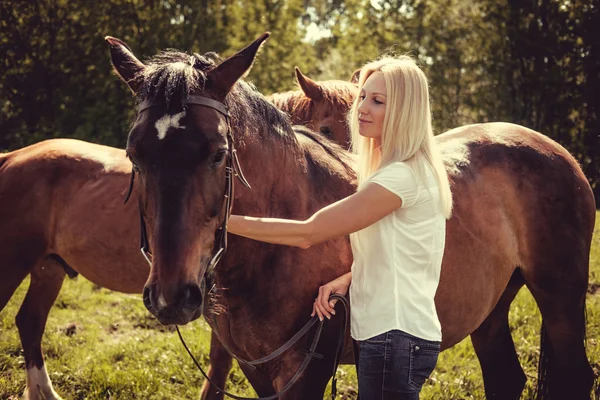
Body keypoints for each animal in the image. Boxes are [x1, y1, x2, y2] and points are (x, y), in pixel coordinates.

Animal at [103, 33, 596, 400]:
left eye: (218, 153)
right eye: (134, 155)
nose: (171, 295)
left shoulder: (306, 371)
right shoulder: (256, 368)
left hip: (561, 298)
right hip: (490, 308)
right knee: (505, 377)